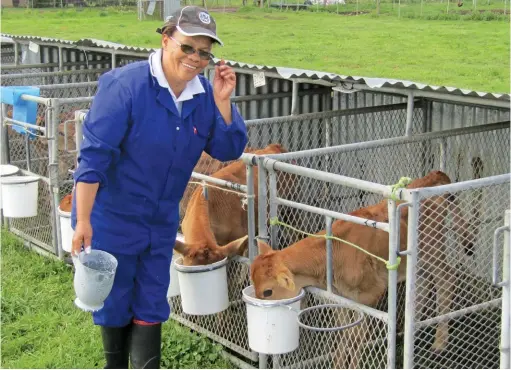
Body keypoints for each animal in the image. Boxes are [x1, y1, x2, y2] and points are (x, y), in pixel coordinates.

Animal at [249, 170, 480, 368]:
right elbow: (344, 334)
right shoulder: (341, 297)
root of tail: (433, 175)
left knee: (446, 278)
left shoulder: (370, 295)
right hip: (418, 259)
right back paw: (409, 330)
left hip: (431, 249)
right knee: (421, 284)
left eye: (268, 291)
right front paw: (337, 365)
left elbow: (355, 336)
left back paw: (439, 343)